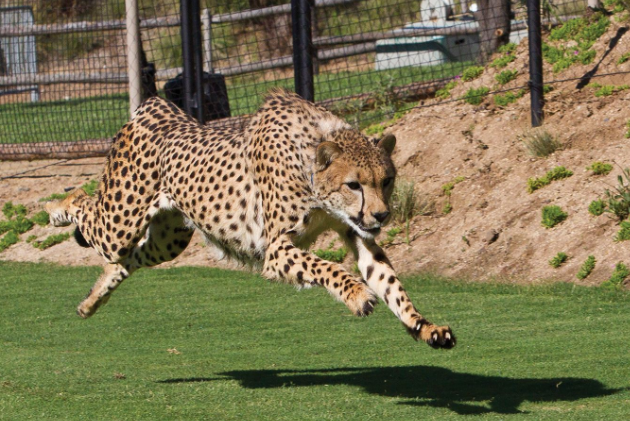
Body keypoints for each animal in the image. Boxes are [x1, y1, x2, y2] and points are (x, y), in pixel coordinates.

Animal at [47, 88, 456, 348]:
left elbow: (390, 283)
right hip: (120, 221)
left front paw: (424, 327)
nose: (382, 214)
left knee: (125, 260)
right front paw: (356, 294)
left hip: (169, 239)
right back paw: (55, 209)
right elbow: (327, 268)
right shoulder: (275, 249)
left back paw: (91, 301)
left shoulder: (357, 233)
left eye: (386, 180)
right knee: (85, 206)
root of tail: (158, 107)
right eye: (354, 184)